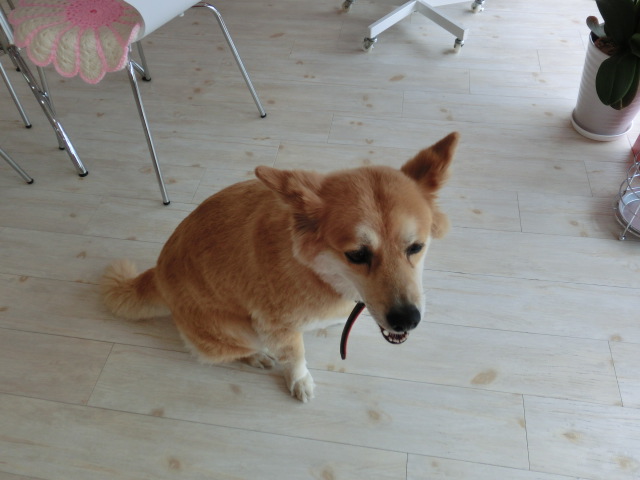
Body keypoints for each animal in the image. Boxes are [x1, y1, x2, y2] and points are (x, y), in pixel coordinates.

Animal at [101, 132, 458, 402]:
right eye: (357, 255)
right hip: (236, 329)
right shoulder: (277, 326)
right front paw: (299, 381)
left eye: (416, 247)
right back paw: (255, 355)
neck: (317, 272)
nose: (407, 320)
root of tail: (156, 275)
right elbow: (296, 357)